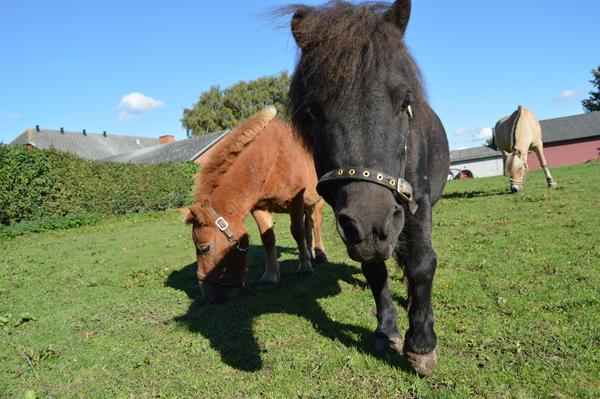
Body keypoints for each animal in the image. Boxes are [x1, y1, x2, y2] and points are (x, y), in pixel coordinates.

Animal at [180, 107, 326, 304]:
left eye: (205, 248)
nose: (210, 297)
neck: (272, 158)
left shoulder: (296, 202)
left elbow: (297, 232)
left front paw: (304, 266)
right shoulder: (259, 207)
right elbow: (268, 238)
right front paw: (271, 276)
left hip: (318, 201)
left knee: (315, 224)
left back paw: (319, 253)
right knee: (308, 226)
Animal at [288, 0, 450, 376]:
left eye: (405, 99)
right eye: (312, 111)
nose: (372, 225)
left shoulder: (418, 201)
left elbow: (422, 262)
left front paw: (422, 344)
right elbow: (375, 270)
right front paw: (386, 332)